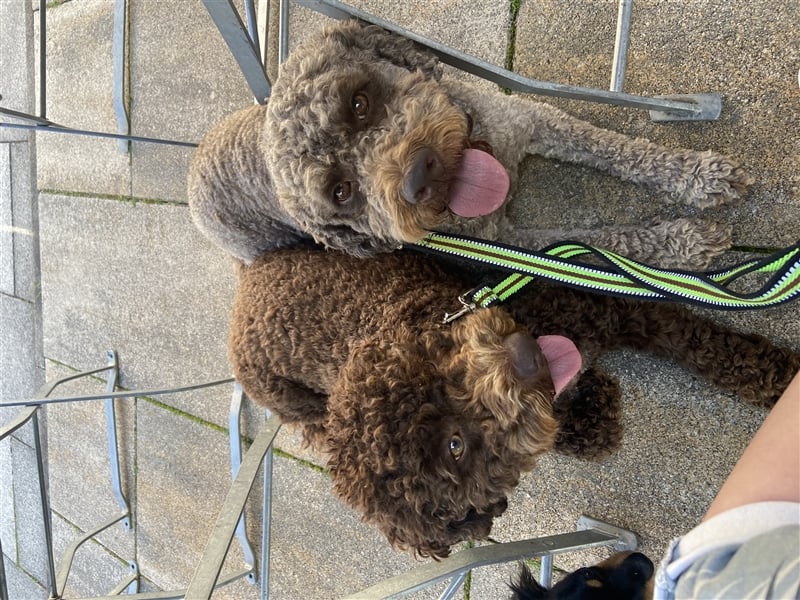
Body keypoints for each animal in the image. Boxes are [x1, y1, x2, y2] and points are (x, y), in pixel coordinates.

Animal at [188, 21, 752, 268]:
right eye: (342, 192)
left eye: (358, 103)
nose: (417, 176)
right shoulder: (508, 239)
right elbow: (602, 242)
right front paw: (685, 238)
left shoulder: (532, 118)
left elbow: (618, 147)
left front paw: (697, 177)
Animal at [228, 246, 796, 560]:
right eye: (455, 446)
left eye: (433, 352)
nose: (523, 355)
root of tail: (243, 290)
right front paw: (589, 417)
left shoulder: (602, 305)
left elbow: (696, 335)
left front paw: (777, 375)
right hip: (296, 405)